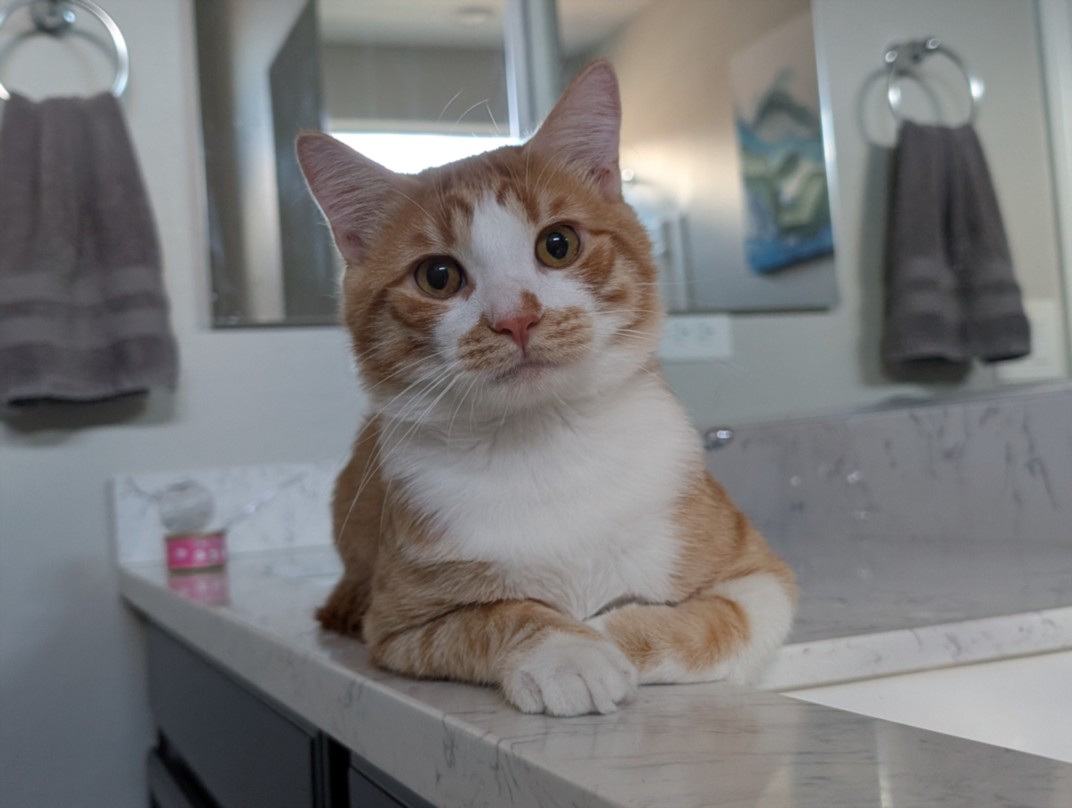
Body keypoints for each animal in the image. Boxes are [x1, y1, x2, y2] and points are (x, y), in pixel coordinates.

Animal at [296, 61, 796, 717]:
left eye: (558, 244)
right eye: (438, 276)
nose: (515, 319)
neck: (544, 443)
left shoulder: (762, 578)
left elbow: (717, 622)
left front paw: (609, 628)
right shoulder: (398, 623)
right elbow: (495, 616)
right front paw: (569, 650)